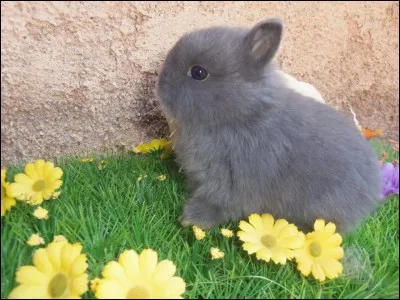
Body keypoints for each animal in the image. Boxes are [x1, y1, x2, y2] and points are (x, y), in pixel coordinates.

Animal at [156, 17, 382, 232]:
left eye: (199, 72)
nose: (160, 84)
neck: (243, 115)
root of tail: (372, 188)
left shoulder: (231, 180)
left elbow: (218, 203)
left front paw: (189, 219)